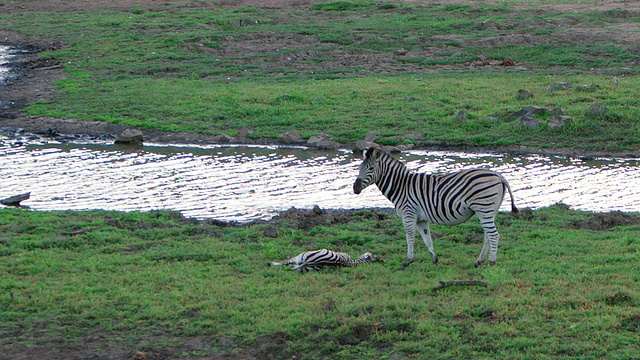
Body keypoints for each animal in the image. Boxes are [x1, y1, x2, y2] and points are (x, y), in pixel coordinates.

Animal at [352, 146, 516, 268]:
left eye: (371, 168)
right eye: (359, 168)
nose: (355, 188)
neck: (401, 186)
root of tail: (498, 175)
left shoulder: (409, 214)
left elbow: (410, 238)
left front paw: (408, 261)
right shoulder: (421, 219)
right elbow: (427, 239)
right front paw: (434, 259)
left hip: (484, 208)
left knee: (493, 235)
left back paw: (491, 262)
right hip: (488, 211)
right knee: (488, 236)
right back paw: (479, 261)